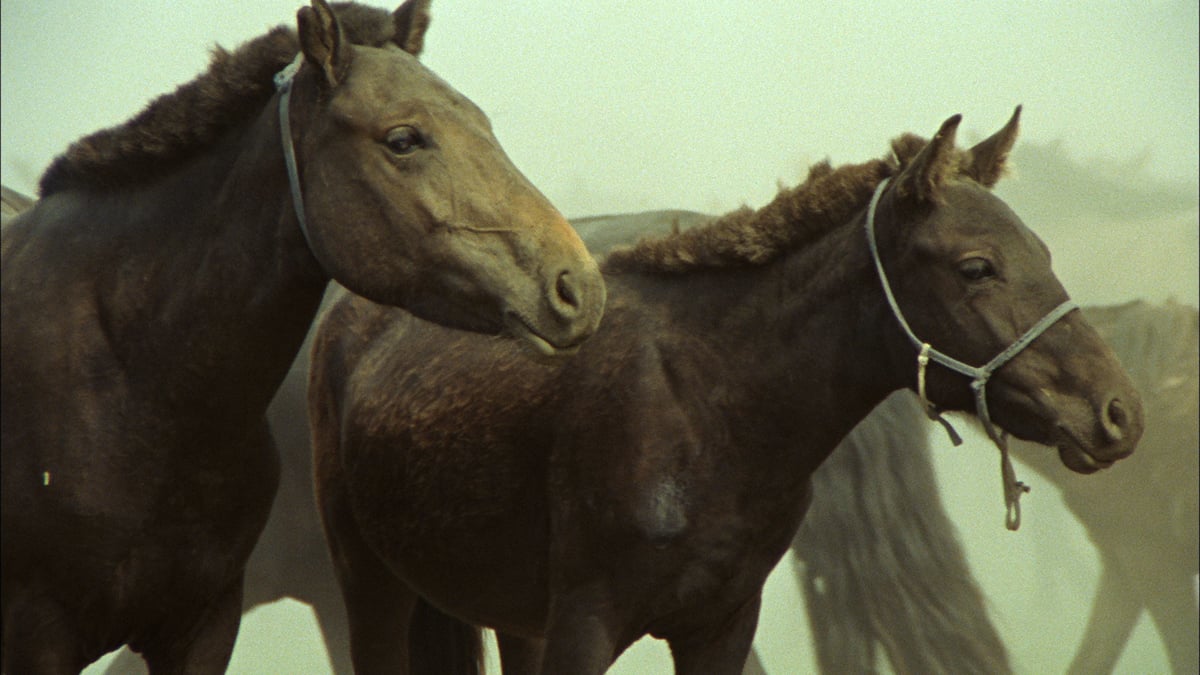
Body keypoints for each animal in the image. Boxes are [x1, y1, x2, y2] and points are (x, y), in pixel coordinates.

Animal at [0, 1, 600, 667]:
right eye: (402, 140)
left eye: (482, 124)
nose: (577, 286)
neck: (132, 380)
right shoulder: (37, 634)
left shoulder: (205, 626)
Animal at [307, 107, 1142, 667]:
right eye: (977, 266)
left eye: (1043, 251)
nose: (1119, 412)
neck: (707, 405)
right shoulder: (583, 624)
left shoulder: (720, 624)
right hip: (371, 585)